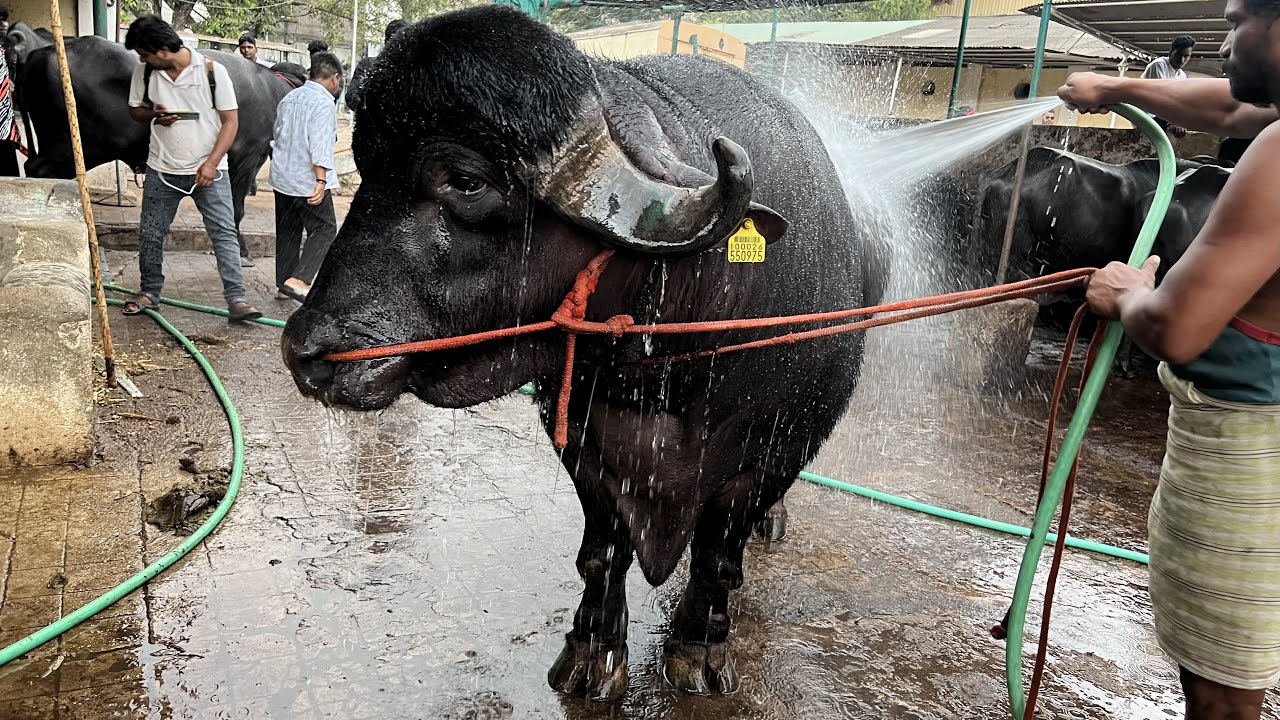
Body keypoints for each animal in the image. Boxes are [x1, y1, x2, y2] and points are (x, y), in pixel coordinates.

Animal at [11, 34, 302, 257]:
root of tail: (42, 51)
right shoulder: (248, 157)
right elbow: (236, 209)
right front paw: (241, 250)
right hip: (71, 147)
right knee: (40, 172)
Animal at [282, 5, 890, 701]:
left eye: (466, 181)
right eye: (364, 162)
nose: (305, 350)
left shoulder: (778, 449)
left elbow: (717, 558)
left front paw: (698, 650)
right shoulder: (580, 438)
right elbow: (603, 549)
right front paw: (591, 651)